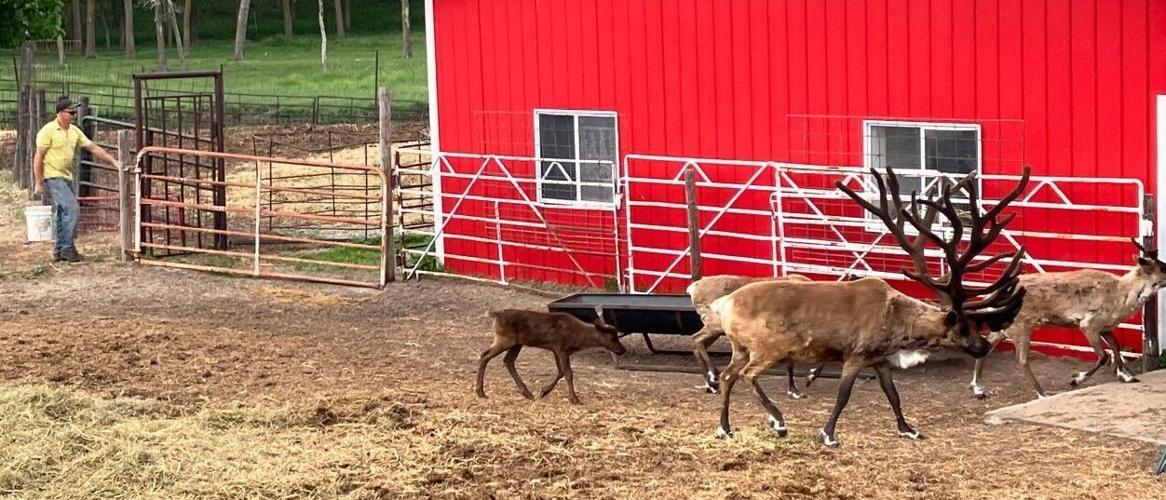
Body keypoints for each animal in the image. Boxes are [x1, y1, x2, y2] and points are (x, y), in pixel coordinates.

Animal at [476, 305, 627, 404]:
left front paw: (544, 391)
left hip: (516, 343)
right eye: (613, 338)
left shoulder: (555, 349)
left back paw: (527, 393)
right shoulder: (562, 348)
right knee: (485, 355)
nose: (622, 350)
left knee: (508, 360)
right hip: (505, 339)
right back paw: (481, 392)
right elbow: (568, 373)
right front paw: (575, 399)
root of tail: (495, 315)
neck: (578, 337)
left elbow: (560, 372)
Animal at [712, 165, 1031, 447]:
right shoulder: (856, 354)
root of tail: (724, 304)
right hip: (768, 348)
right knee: (747, 375)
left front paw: (909, 429)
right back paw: (778, 421)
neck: (899, 322)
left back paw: (725, 428)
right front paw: (828, 434)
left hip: (740, 347)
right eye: (963, 327)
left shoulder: (880, 359)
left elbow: (894, 395)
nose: (984, 346)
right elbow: (843, 396)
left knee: (728, 376)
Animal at [968, 237, 1165, 399]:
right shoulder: (1089, 325)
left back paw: (978, 388)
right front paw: (1076, 379)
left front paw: (1126, 376)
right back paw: (1042, 394)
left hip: (1005, 325)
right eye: (1163, 267)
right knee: (1022, 360)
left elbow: (1116, 349)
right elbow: (1104, 355)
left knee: (988, 343)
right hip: (1021, 326)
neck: (1122, 293)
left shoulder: (1106, 327)